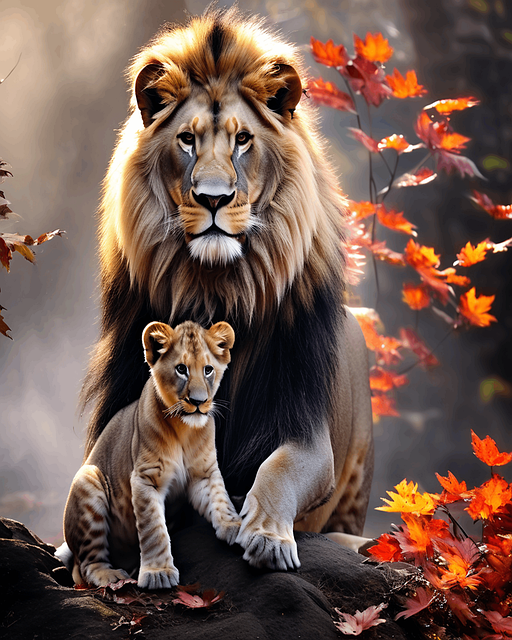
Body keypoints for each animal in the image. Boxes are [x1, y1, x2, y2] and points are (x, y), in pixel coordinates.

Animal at [60, 320, 240, 588]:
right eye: (181, 369)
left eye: (208, 370)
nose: (198, 402)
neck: (184, 429)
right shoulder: (146, 479)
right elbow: (154, 530)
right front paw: (158, 573)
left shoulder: (204, 473)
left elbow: (221, 499)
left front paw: (236, 526)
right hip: (88, 477)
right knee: (86, 564)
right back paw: (110, 575)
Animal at [80, 6, 373, 570]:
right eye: (187, 140)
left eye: (242, 140)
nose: (213, 198)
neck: (215, 287)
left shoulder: (305, 430)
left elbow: (279, 469)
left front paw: (266, 536)